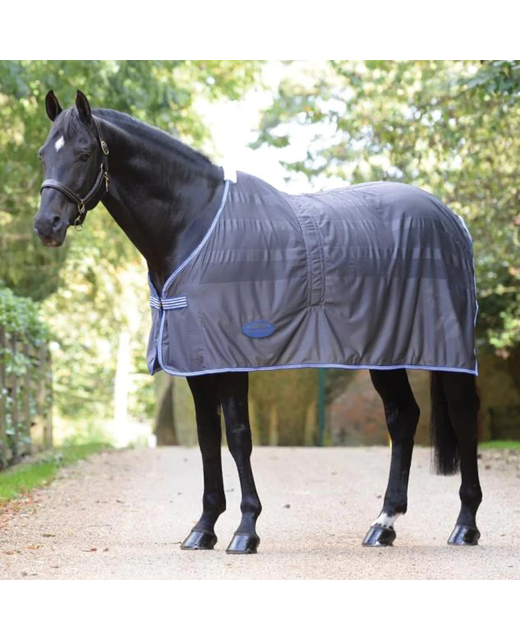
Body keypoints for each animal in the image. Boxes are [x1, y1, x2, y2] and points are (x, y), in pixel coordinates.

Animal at [34, 91, 482, 554]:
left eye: (84, 153)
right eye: (43, 155)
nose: (46, 225)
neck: (193, 224)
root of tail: (452, 220)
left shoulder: (230, 358)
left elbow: (237, 436)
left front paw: (245, 529)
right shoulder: (197, 363)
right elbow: (207, 438)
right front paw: (203, 528)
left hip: (446, 349)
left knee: (464, 416)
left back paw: (465, 525)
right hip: (386, 350)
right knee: (403, 418)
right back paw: (384, 524)